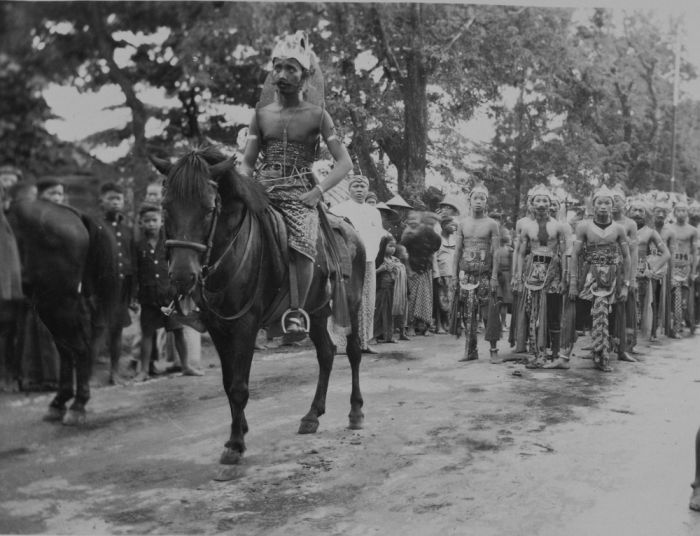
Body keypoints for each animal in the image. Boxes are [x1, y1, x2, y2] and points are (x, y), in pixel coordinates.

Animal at [9, 199, 119, 426]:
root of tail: (73, 212)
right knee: (67, 349)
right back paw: (60, 402)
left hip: (55, 303)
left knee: (79, 348)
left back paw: (77, 406)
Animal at [152, 148, 366, 468]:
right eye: (166, 207)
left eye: (208, 209)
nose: (181, 276)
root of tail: (351, 230)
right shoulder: (217, 326)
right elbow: (228, 383)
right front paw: (239, 428)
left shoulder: (246, 324)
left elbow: (239, 386)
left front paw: (235, 444)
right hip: (315, 310)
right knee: (326, 353)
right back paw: (312, 415)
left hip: (351, 302)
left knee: (352, 352)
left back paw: (355, 411)